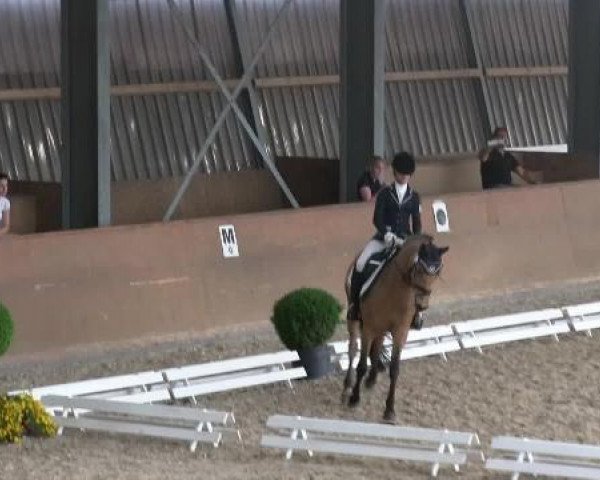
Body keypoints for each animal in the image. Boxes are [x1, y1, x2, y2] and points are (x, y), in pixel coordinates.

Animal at [340, 234, 448, 422]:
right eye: (419, 268)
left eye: (438, 271)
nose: (422, 305)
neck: (396, 291)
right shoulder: (368, 328)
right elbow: (361, 365)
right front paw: (354, 398)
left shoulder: (400, 332)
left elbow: (395, 369)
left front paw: (389, 410)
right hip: (355, 320)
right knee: (353, 349)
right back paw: (347, 387)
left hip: (381, 329)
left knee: (376, 348)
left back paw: (372, 379)